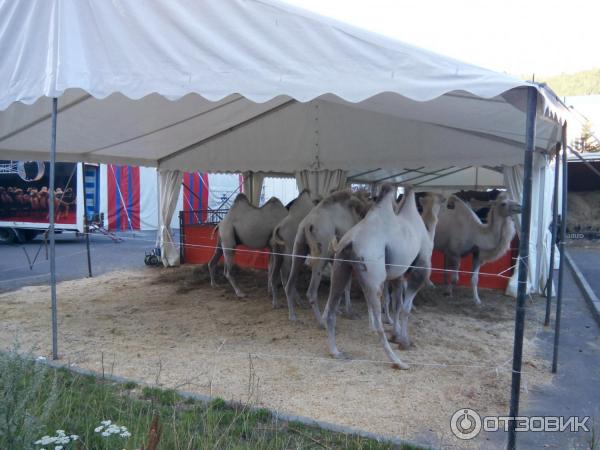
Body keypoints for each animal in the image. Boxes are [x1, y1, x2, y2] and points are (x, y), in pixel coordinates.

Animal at [284, 190, 372, 324]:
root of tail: (306, 225)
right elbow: (346, 285)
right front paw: (349, 312)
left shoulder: (334, 258)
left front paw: (338, 311)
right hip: (321, 254)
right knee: (311, 292)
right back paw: (321, 322)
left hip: (299, 248)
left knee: (290, 283)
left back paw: (293, 316)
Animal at [322, 185, 442, 370]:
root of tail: (349, 242)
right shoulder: (421, 268)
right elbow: (405, 308)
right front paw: (405, 342)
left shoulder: (398, 276)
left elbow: (397, 305)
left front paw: (397, 336)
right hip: (374, 274)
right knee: (378, 320)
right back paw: (398, 362)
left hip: (340, 268)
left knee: (331, 308)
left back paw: (336, 352)